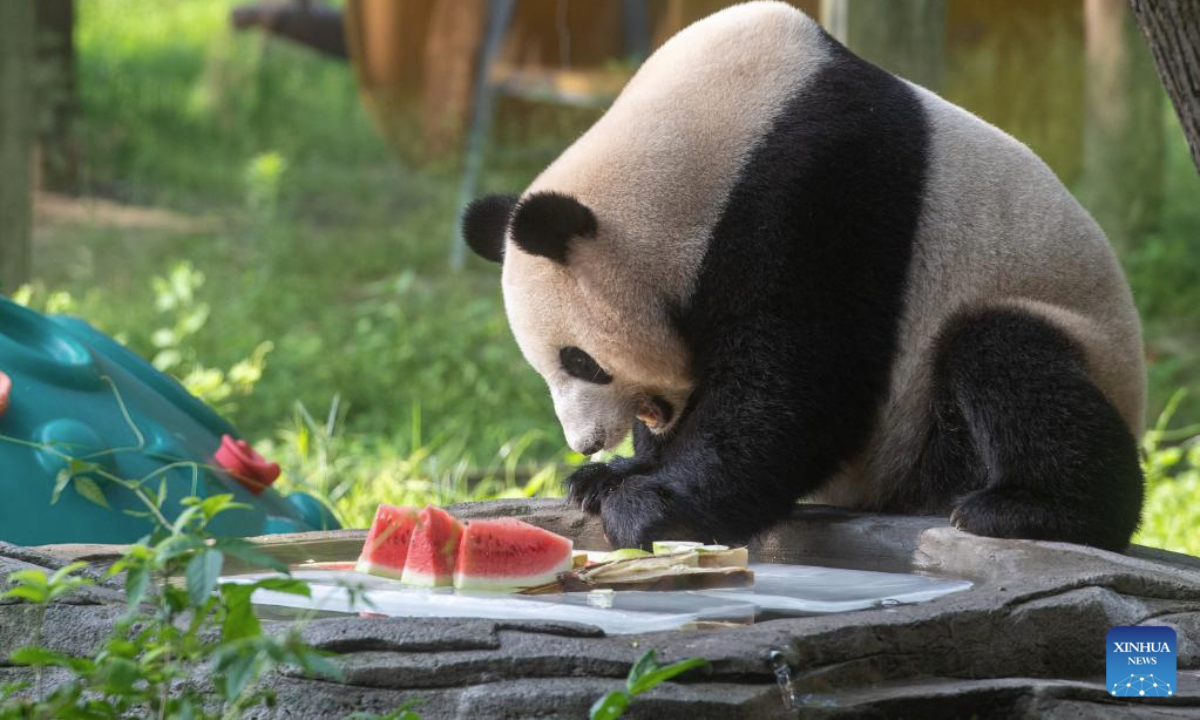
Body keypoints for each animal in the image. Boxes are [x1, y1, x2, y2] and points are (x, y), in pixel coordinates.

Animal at [461, 1, 1145, 552]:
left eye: (580, 361)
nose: (585, 442)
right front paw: (609, 478)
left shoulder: (819, 184)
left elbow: (796, 376)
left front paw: (652, 509)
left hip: (1037, 348)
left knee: (1008, 358)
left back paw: (1027, 510)